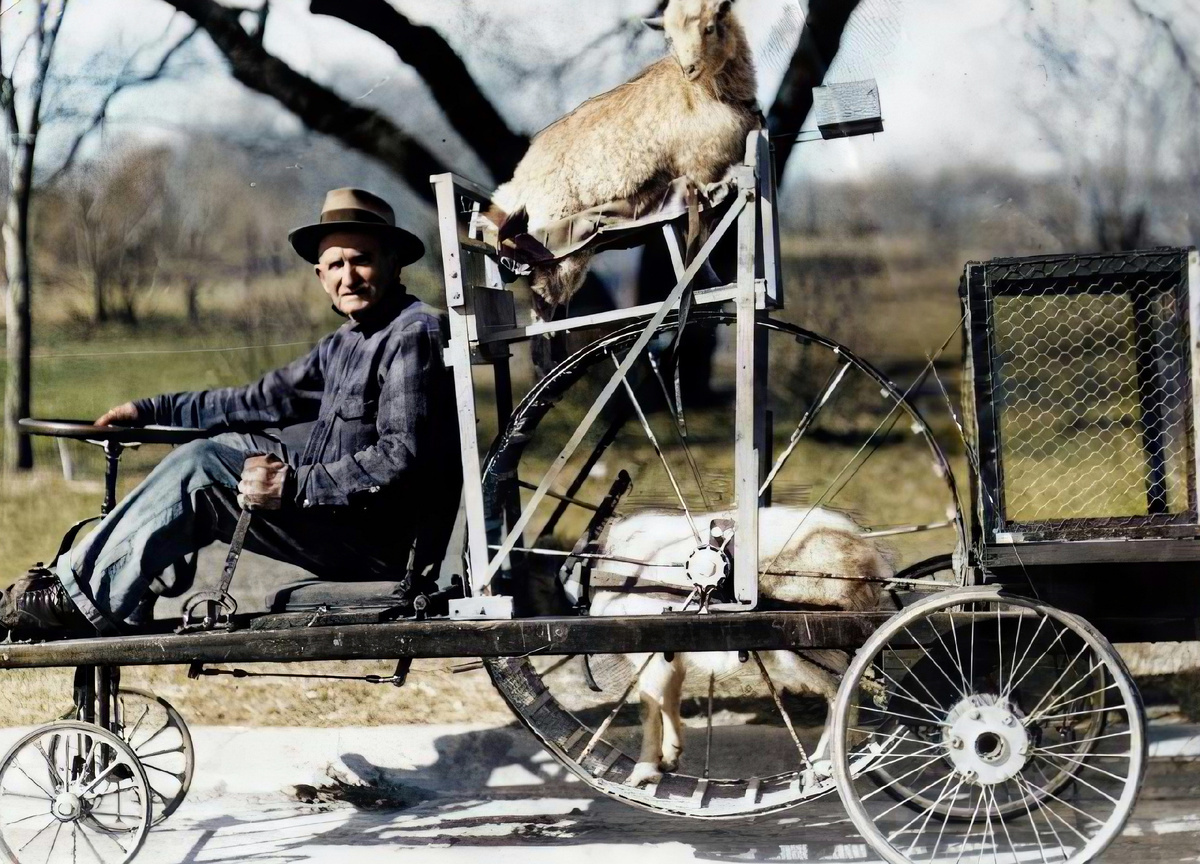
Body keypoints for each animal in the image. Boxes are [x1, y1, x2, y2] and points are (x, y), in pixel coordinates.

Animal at [489, 0, 758, 321]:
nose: (688, 68)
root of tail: (520, 179)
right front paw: (711, 284)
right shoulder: (698, 171)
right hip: (557, 233)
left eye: (710, 27)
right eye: (669, 38)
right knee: (544, 292)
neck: (703, 91)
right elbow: (700, 236)